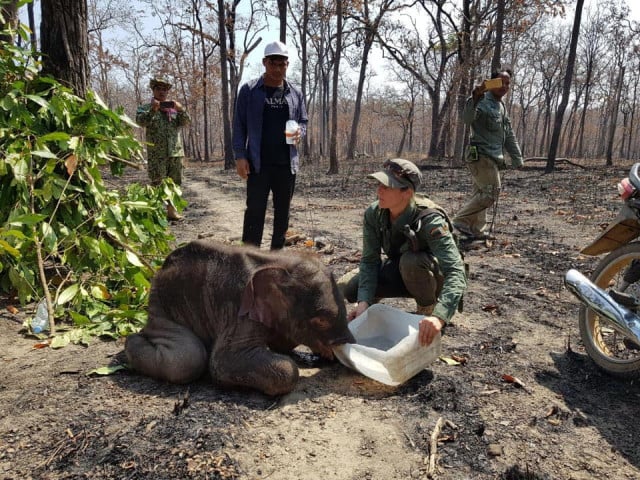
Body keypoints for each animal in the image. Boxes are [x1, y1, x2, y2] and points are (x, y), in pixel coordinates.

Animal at [125, 240, 356, 394]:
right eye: (321, 321)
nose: (344, 350)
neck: (280, 262)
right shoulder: (240, 312)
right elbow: (222, 362)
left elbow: (282, 341)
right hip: (162, 307)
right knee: (188, 359)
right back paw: (132, 339)